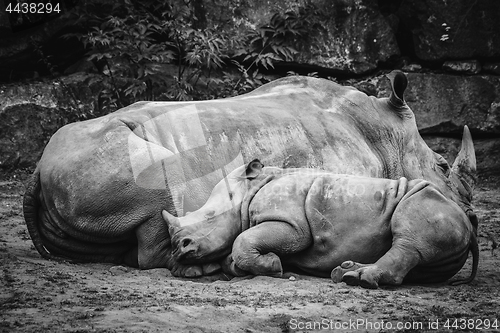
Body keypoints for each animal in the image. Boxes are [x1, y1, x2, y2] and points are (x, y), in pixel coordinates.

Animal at [23, 69, 476, 274]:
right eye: (441, 167)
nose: (470, 221)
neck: (384, 133)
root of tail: (38, 168)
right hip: (103, 157)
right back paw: (203, 268)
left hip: (76, 166)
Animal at [162, 159, 478, 288]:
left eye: (209, 217)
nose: (178, 248)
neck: (247, 191)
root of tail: (470, 225)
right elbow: (237, 247)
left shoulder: (292, 226)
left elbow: (243, 240)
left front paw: (273, 266)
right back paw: (345, 272)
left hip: (428, 203)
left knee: (409, 240)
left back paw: (356, 279)